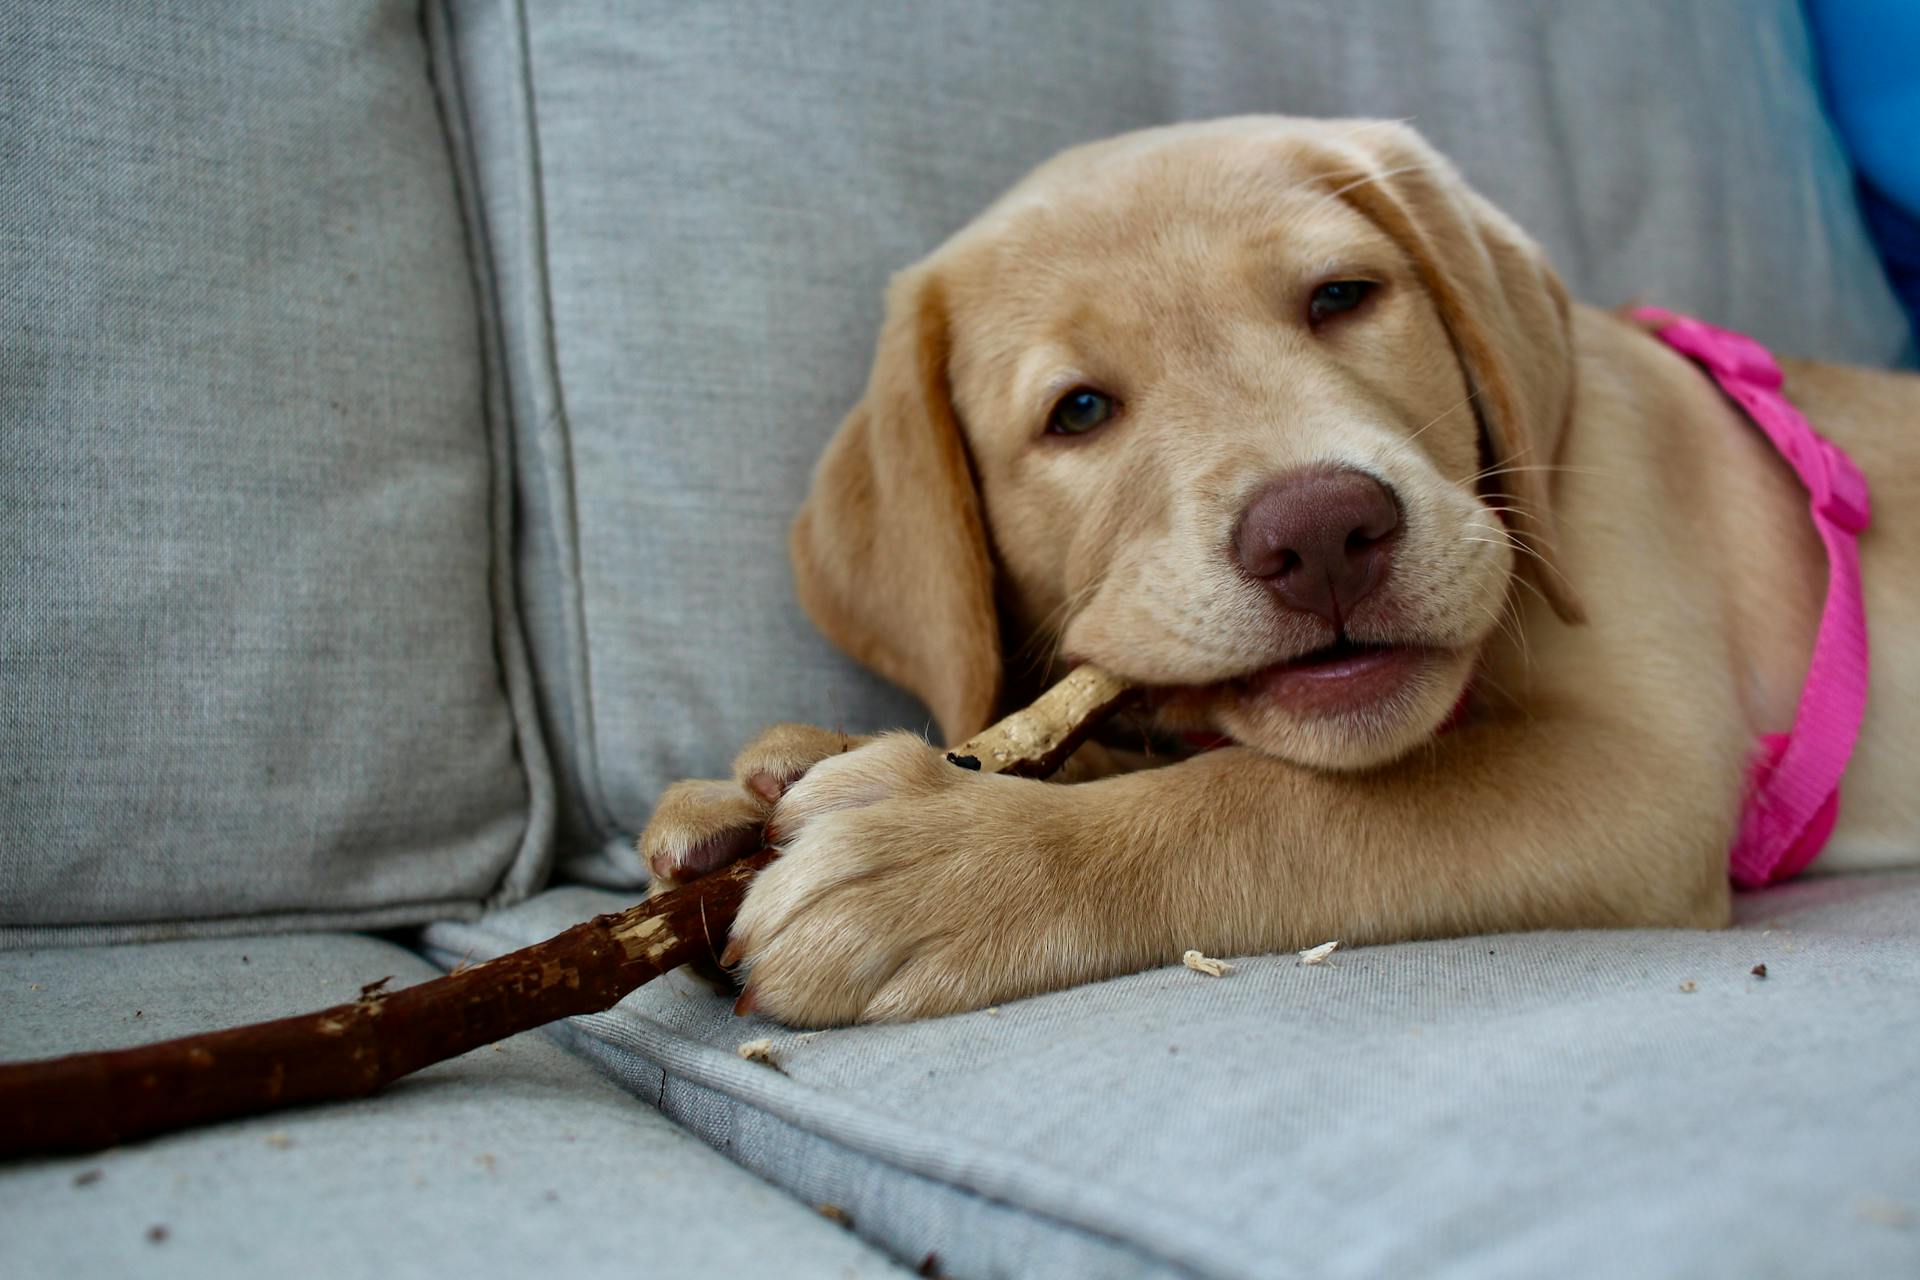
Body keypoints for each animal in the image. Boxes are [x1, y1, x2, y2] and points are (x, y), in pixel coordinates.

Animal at [645, 115, 1920, 1028]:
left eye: (1342, 297)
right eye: (1078, 412)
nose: (1320, 533)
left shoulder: (1646, 773)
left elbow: (1274, 801)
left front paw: (954, 865)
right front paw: (785, 776)